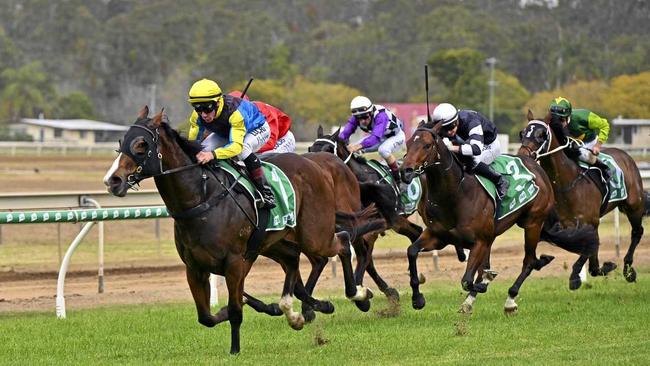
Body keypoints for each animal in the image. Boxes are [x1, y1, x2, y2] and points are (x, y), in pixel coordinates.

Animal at [102, 106, 380, 354]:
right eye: (121, 141)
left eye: (141, 145)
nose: (113, 180)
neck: (202, 199)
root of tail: (317, 166)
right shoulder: (195, 267)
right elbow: (206, 317)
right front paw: (251, 308)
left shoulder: (235, 262)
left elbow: (236, 311)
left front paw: (235, 350)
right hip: (273, 242)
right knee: (294, 260)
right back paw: (297, 310)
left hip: (314, 234)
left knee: (342, 242)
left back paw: (359, 294)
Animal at [400, 121, 592, 314]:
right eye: (408, 144)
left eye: (427, 145)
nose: (405, 171)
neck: (456, 193)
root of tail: (536, 166)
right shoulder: (439, 236)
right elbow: (412, 251)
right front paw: (417, 299)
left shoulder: (479, 241)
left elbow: (467, 279)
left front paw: (484, 282)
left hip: (533, 224)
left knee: (529, 261)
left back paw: (510, 300)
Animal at [516, 111, 648, 288]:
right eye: (523, 133)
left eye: (541, 134)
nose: (523, 155)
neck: (567, 182)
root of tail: (627, 156)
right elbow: (590, 259)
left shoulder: (591, 222)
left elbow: (588, 248)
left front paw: (575, 278)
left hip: (634, 206)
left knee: (637, 232)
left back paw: (628, 270)